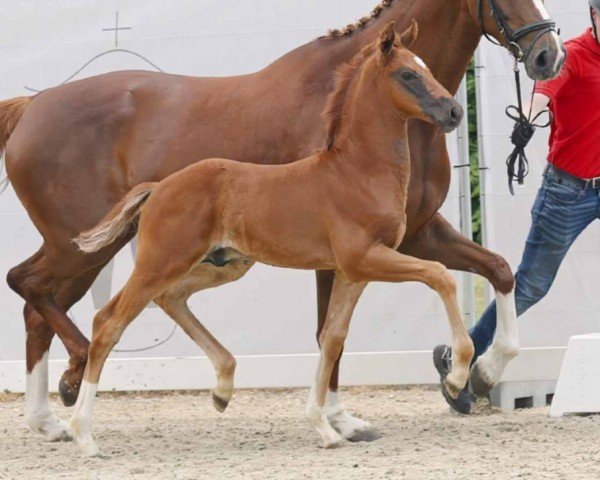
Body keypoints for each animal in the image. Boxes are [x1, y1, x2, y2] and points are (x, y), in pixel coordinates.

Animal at [72, 22, 472, 456]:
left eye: (426, 66)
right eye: (407, 74)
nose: (454, 112)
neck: (357, 172)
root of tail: (159, 188)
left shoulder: (353, 270)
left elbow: (332, 337)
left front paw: (324, 427)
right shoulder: (364, 258)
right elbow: (440, 275)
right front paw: (456, 377)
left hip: (225, 265)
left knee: (171, 298)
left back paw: (223, 388)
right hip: (160, 262)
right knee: (110, 321)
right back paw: (84, 435)